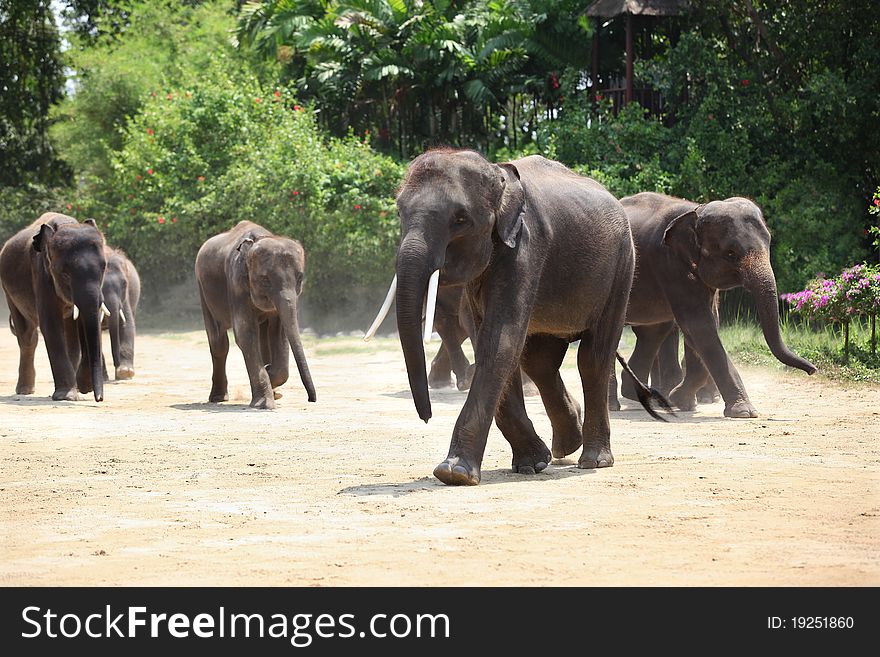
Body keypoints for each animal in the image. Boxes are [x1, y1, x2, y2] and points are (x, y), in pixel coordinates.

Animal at [0, 213, 109, 402]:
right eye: (65, 274)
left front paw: (83, 388)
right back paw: (25, 390)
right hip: (8, 291)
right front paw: (67, 396)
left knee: (69, 335)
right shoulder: (42, 274)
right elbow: (50, 324)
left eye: (104, 268)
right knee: (27, 336)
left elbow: (82, 323)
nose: (99, 398)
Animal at [196, 218, 316, 408]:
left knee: (263, 338)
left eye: (300, 278)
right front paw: (264, 403)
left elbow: (279, 335)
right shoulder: (236, 284)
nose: (312, 399)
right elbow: (245, 335)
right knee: (219, 342)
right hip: (203, 290)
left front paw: (270, 378)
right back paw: (218, 398)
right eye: (265, 280)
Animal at [366, 150, 668, 486]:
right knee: (540, 362)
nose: (427, 416)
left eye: (461, 219)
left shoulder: (526, 247)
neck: (498, 176)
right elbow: (492, 341)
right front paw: (532, 463)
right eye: (399, 212)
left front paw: (454, 473)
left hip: (622, 267)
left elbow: (501, 340)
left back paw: (594, 461)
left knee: (592, 357)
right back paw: (567, 444)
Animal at [604, 192, 820, 416]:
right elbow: (699, 325)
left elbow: (705, 325)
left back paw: (640, 395)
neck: (696, 210)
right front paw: (744, 412)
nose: (813, 370)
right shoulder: (669, 264)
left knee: (653, 331)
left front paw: (683, 402)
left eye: (769, 242)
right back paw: (615, 405)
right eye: (731, 253)